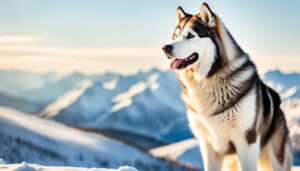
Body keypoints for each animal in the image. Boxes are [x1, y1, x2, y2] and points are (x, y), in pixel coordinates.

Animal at [163, 2, 292, 171]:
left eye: (190, 35)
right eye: (174, 36)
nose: (165, 48)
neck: (207, 81)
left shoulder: (247, 141)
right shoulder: (208, 145)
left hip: (275, 157)